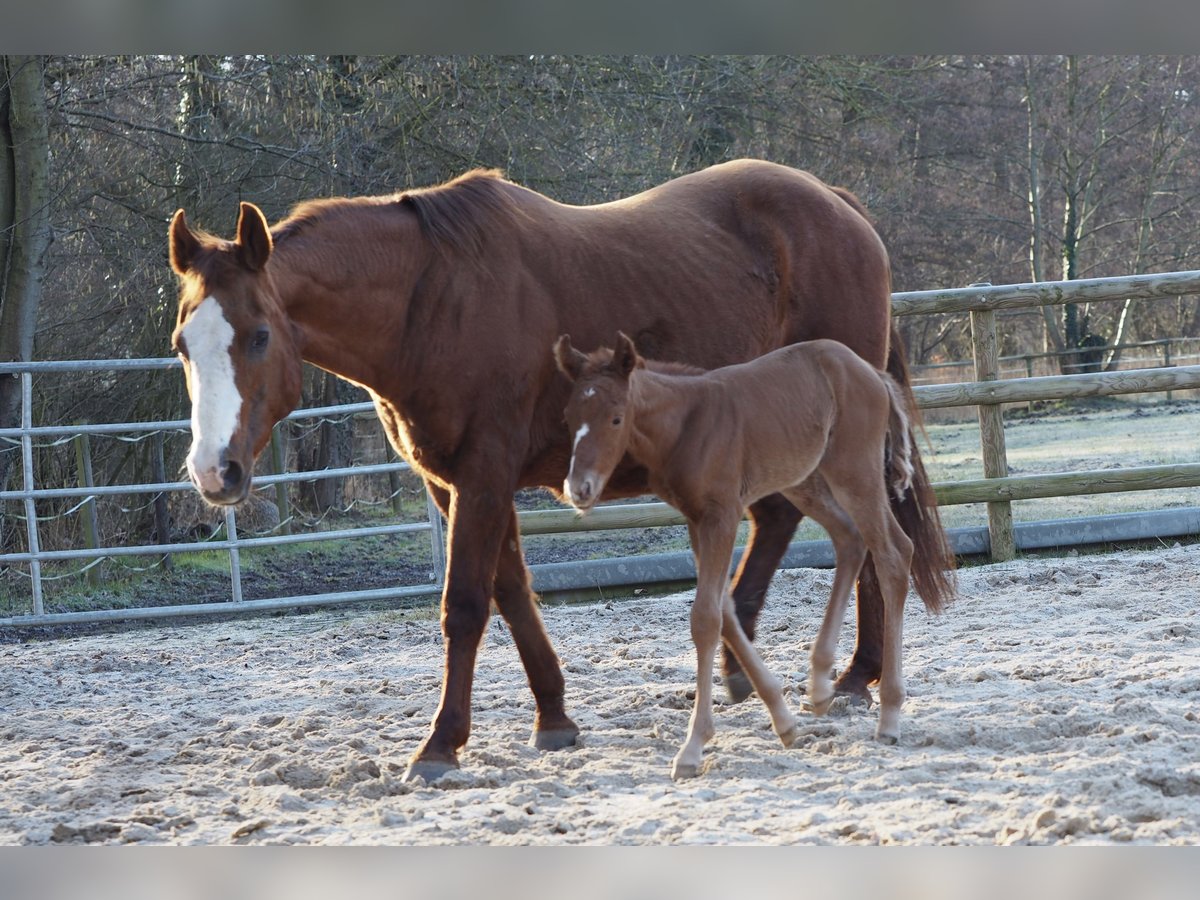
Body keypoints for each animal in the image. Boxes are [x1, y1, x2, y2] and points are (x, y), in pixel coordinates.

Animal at [556, 336, 912, 777]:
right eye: (569, 417)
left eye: (616, 419)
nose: (579, 489)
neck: (686, 424)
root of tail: (871, 372)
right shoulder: (696, 520)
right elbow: (723, 609)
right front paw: (784, 721)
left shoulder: (722, 515)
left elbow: (706, 618)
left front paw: (692, 746)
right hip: (806, 479)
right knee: (850, 539)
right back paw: (818, 688)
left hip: (854, 471)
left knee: (895, 553)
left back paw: (889, 717)